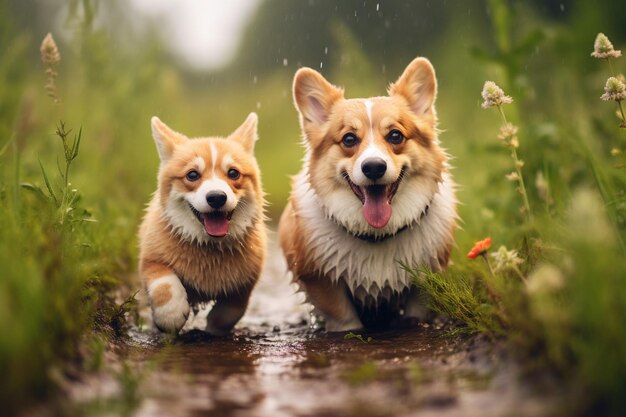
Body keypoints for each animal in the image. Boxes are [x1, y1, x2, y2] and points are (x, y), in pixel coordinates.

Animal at [139, 113, 266, 334]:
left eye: (233, 173)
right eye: (192, 175)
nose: (216, 198)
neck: (209, 244)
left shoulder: (248, 279)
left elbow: (233, 308)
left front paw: (214, 327)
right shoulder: (151, 260)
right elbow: (165, 283)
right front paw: (170, 316)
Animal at [278, 57, 454, 332]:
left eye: (395, 136)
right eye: (349, 139)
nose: (373, 167)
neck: (377, 235)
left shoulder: (428, 275)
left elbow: (417, 309)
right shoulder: (322, 282)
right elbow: (344, 317)